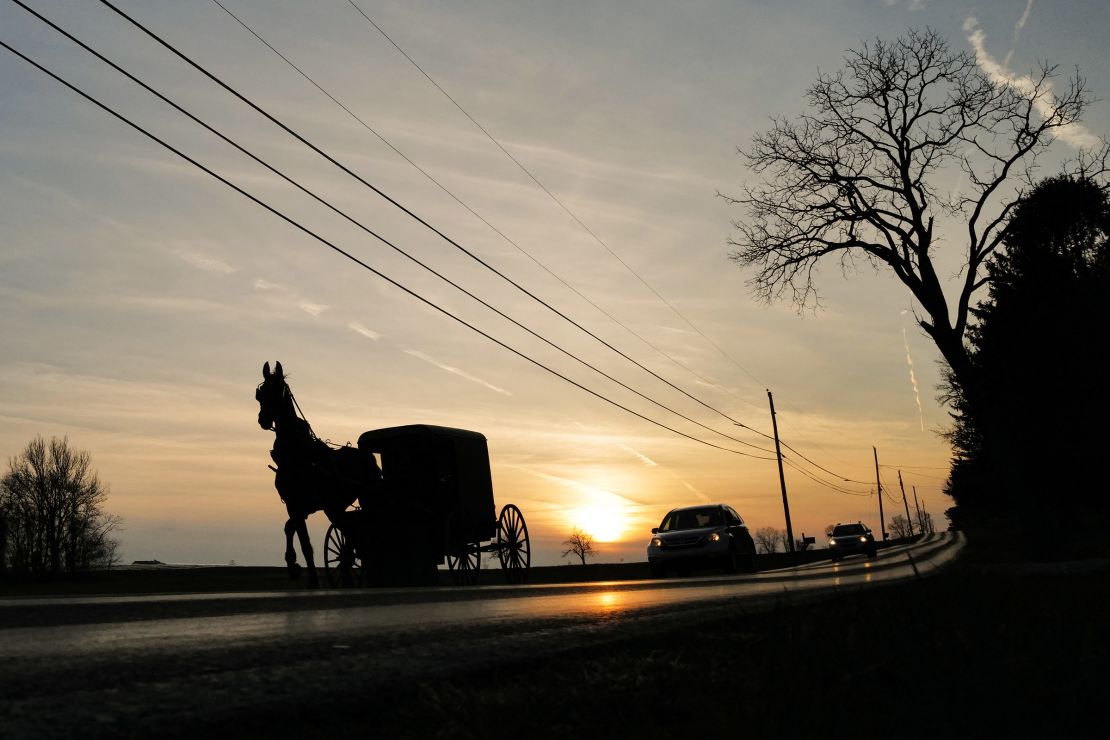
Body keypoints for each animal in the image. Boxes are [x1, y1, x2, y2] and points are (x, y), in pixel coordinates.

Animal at [255, 361, 381, 585]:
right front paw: (293, 565)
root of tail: (367, 456)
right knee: (352, 532)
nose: (264, 420)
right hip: (336, 506)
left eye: (278, 390)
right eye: (260, 394)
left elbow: (305, 543)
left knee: (357, 533)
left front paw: (312, 578)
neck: (298, 454)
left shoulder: (300, 506)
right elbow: (289, 528)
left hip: (353, 501)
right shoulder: (295, 506)